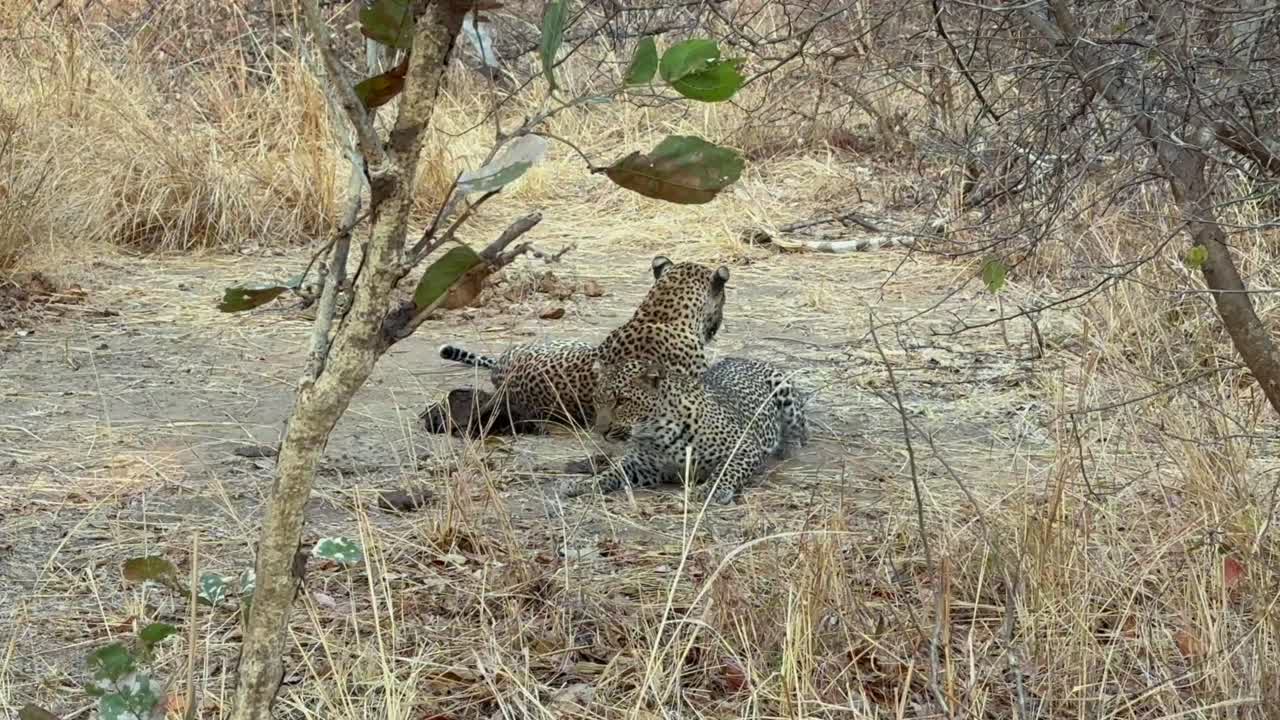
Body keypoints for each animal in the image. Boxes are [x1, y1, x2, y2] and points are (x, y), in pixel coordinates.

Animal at [564, 356, 810, 505]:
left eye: (622, 401)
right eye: (597, 399)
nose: (600, 430)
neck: (656, 434)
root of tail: (740, 358)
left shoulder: (744, 446)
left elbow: (725, 470)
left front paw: (712, 490)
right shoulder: (641, 466)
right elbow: (613, 473)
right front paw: (584, 484)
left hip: (784, 388)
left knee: (799, 429)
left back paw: (788, 449)